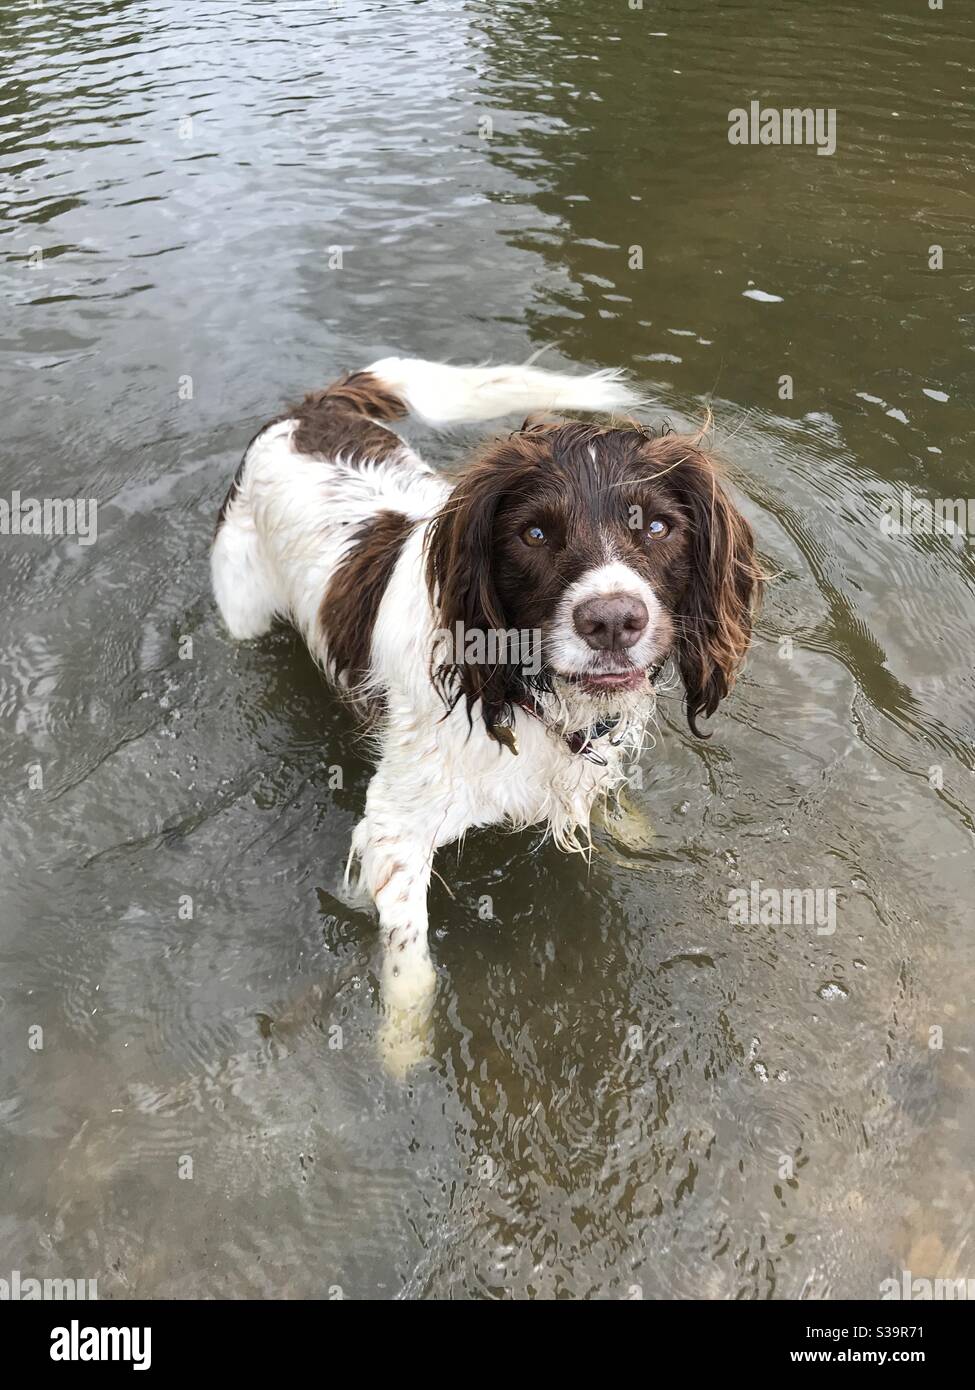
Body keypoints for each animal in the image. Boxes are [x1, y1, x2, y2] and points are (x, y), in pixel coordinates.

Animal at [212, 355, 762, 1061]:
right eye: (534, 533)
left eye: (659, 526)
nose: (613, 621)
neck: (521, 697)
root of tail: (313, 408)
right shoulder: (395, 832)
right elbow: (412, 963)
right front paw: (400, 1049)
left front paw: (632, 826)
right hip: (241, 606)